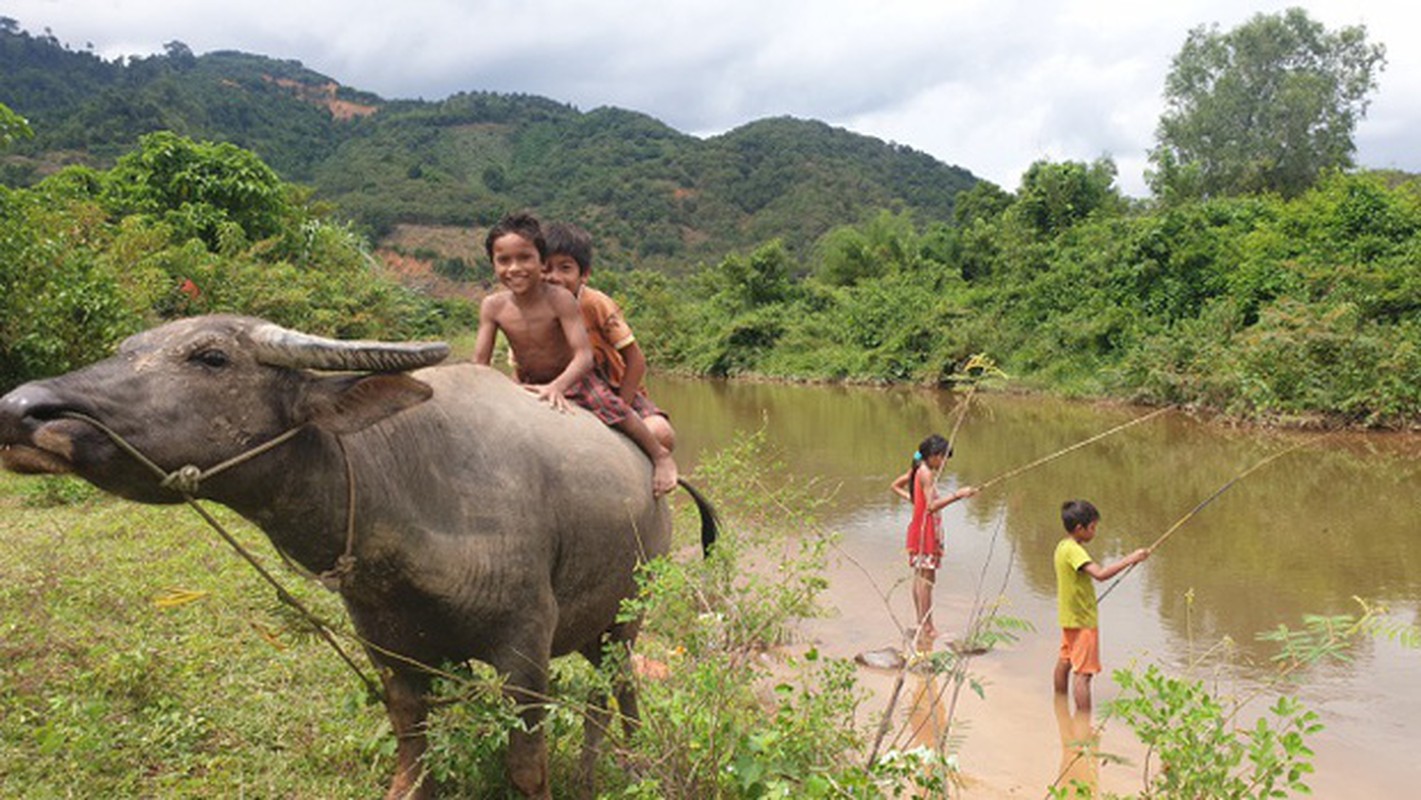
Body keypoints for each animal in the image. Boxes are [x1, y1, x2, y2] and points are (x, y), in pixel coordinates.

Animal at [0, 316, 716, 795]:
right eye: (124, 351)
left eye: (211, 357)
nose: (22, 410)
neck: (404, 481)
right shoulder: (389, 645)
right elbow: (412, 749)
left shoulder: (524, 646)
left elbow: (526, 767)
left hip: (627, 616)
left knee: (617, 691)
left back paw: (627, 764)